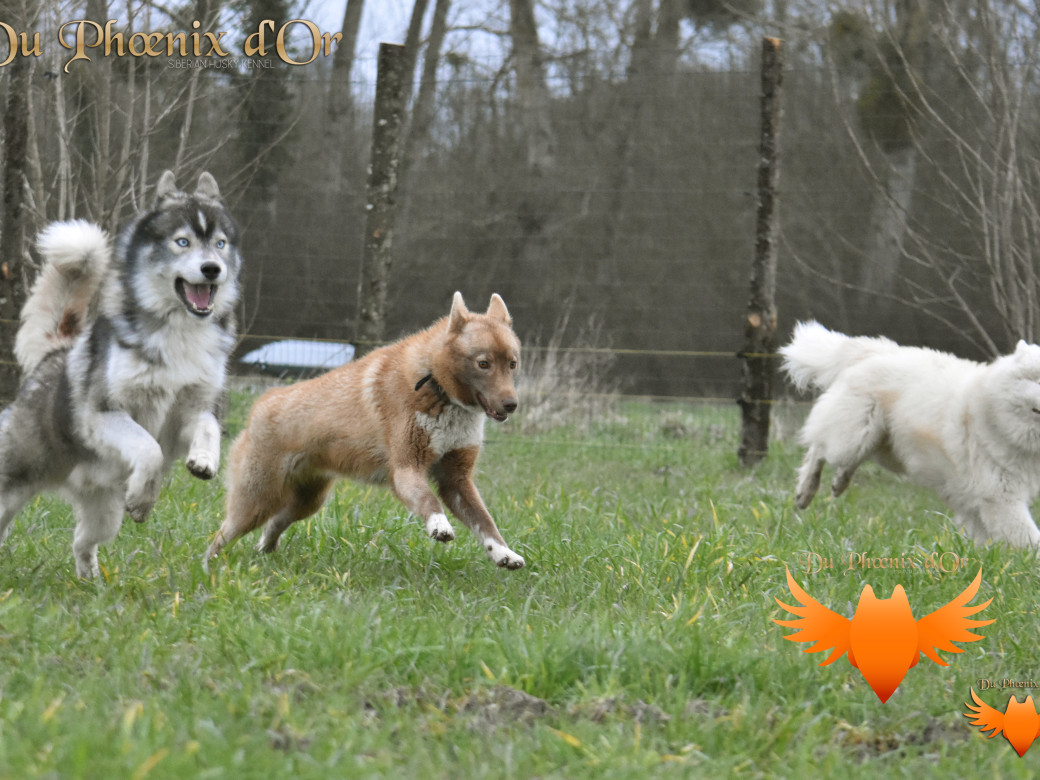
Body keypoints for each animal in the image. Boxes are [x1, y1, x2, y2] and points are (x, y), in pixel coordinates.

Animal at [0, 170, 239, 578]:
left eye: (220, 244)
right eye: (182, 241)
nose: (212, 269)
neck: (179, 335)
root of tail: (56, 353)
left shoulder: (190, 410)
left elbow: (206, 428)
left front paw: (205, 461)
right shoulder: (106, 413)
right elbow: (149, 449)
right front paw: (144, 497)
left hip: (106, 511)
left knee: (82, 541)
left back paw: (91, 582)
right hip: (18, 474)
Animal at [203, 293, 528, 574]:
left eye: (512, 363)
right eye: (483, 363)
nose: (511, 404)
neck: (437, 387)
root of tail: (260, 406)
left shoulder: (456, 481)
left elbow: (485, 522)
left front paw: (503, 553)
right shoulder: (406, 470)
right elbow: (428, 502)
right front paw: (440, 526)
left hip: (307, 502)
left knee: (273, 526)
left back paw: (264, 554)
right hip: (256, 501)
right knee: (222, 535)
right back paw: (207, 567)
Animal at [782, 320, 1040, 544]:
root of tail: (877, 350)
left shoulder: (981, 505)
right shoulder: (1002, 499)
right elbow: (1031, 542)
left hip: (888, 451)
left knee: (843, 457)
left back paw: (838, 483)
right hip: (854, 440)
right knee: (819, 449)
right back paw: (805, 491)